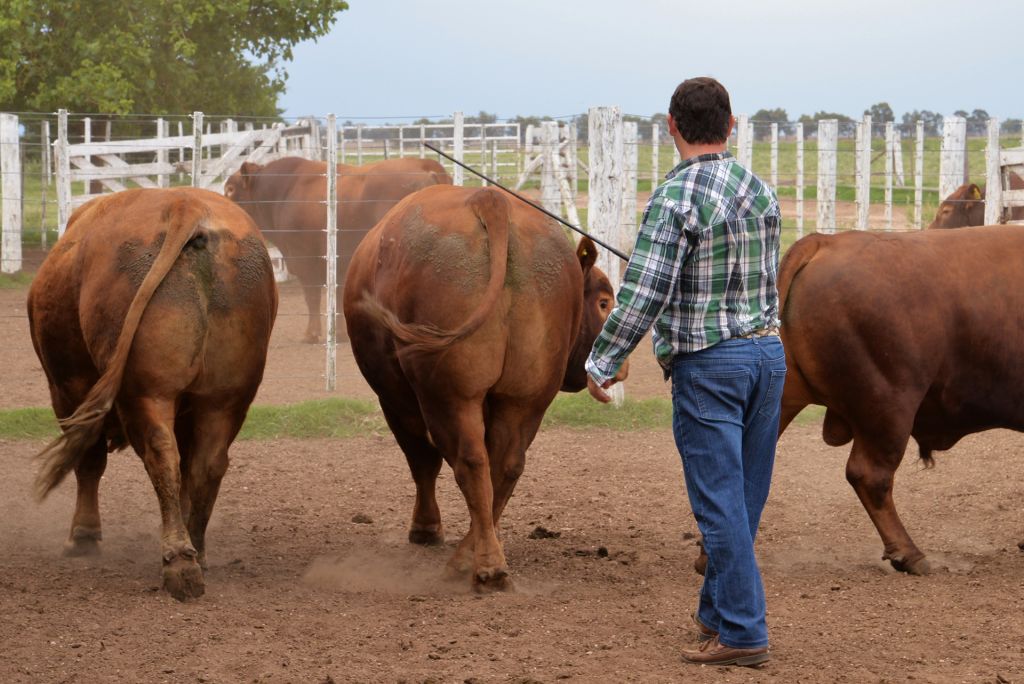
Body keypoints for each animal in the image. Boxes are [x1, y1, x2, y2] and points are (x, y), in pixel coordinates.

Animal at [29, 187, 276, 597]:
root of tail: (185, 206)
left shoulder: (67, 389)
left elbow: (89, 461)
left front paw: (83, 536)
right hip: (225, 399)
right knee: (206, 463)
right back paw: (196, 549)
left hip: (145, 393)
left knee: (161, 455)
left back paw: (179, 562)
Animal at [226, 158, 450, 344]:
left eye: (230, 189)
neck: (285, 193)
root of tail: (426, 166)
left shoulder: (305, 259)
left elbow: (312, 296)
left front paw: (311, 334)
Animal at [344, 184, 622, 589]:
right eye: (603, 302)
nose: (620, 369)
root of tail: (489, 200)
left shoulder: (396, 402)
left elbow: (422, 461)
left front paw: (425, 529)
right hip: (524, 399)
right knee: (505, 464)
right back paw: (479, 553)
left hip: (449, 396)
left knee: (469, 461)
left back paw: (480, 565)